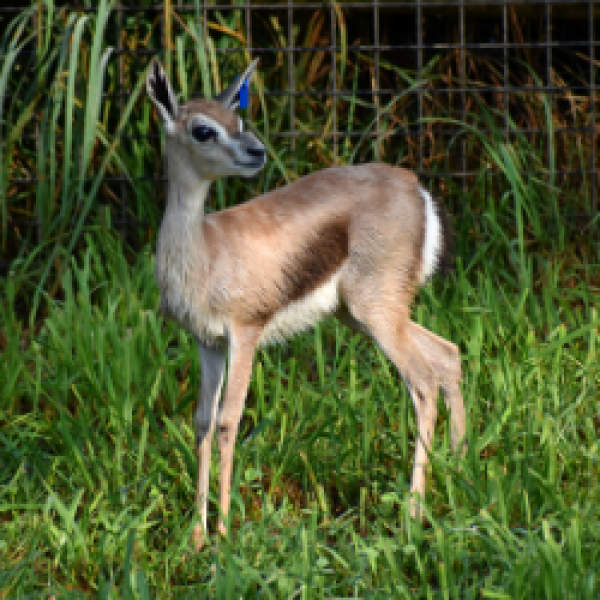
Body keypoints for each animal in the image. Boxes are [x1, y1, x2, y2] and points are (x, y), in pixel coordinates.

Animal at [148, 58, 466, 552]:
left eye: (236, 120)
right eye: (203, 129)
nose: (256, 151)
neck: (204, 251)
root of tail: (415, 188)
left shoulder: (246, 332)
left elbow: (228, 420)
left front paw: (223, 531)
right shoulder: (208, 343)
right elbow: (201, 422)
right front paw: (197, 536)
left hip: (377, 314)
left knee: (423, 380)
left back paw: (414, 514)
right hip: (363, 315)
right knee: (448, 355)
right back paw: (458, 472)